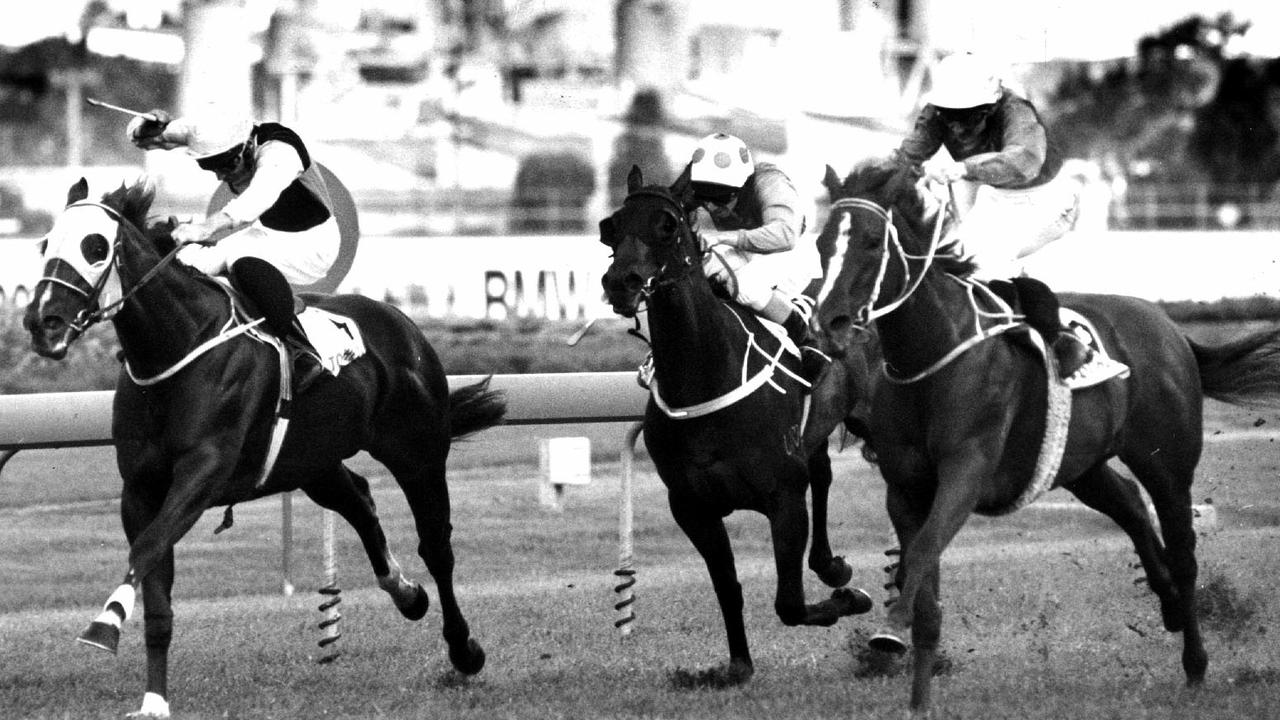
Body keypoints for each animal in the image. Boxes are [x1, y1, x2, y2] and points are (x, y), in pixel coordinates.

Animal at [24, 178, 504, 712]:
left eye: (96, 247)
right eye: (46, 245)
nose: (42, 322)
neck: (177, 350)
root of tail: (404, 324)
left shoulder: (203, 473)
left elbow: (148, 546)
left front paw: (104, 624)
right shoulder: (141, 489)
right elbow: (155, 583)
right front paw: (153, 701)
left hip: (417, 453)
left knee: (436, 546)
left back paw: (464, 650)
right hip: (313, 462)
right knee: (359, 501)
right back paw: (407, 594)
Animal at [814, 161, 1280, 712]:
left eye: (869, 242)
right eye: (822, 242)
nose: (829, 323)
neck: (931, 358)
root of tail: (1169, 327)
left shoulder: (965, 473)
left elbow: (925, 550)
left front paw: (889, 631)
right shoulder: (905, 487)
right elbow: (925, 582)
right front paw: (918, 700)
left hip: (1167, 462)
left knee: (1183, 551)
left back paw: (1195, 664)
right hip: (1082, 464)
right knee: (1129, 504)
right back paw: (1164, 597)